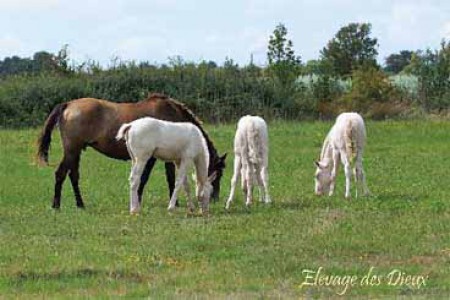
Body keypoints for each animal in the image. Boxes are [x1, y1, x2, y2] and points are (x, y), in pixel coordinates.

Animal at [37, 93, 227, 209]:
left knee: (73, 175)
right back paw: (56, 205)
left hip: (76, 151)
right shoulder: (156, 157)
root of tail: (68, 104)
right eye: (218, 173)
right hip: (72, 150)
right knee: (61, 174)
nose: (215, 198)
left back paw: (80, 204)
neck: (173, 117)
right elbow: (155, 178)